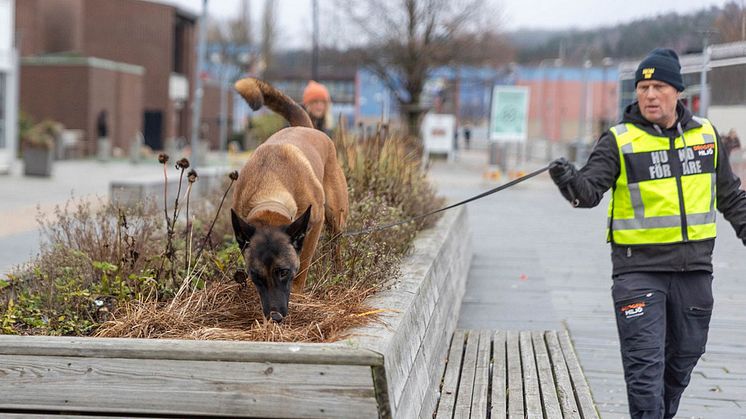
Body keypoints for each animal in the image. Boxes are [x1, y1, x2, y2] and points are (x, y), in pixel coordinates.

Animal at [231, 77, 348, 324]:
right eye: (256, 276)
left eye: (283, 272)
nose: (274, 316)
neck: (270, 184)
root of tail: (304, 127)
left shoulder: (313, 226)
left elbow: (303, 265)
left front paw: (299, 295)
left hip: (336, 217)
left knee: (336, 246)